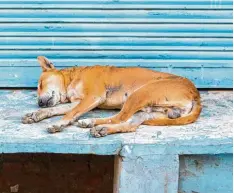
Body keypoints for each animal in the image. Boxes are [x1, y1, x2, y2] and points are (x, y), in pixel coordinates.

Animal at [21, 55, 201, 137]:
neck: (72, 78)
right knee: (130, 124)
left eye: (40, 84)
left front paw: (59, 123)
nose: (39, 103)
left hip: (139, 94)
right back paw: (100, 127)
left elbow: (70, 113)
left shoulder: (93, 97)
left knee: (120, 118)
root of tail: (195, 93)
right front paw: (36, 114)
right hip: (150, 111)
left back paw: (92, 122)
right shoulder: (79, 101)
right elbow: (57, 109)